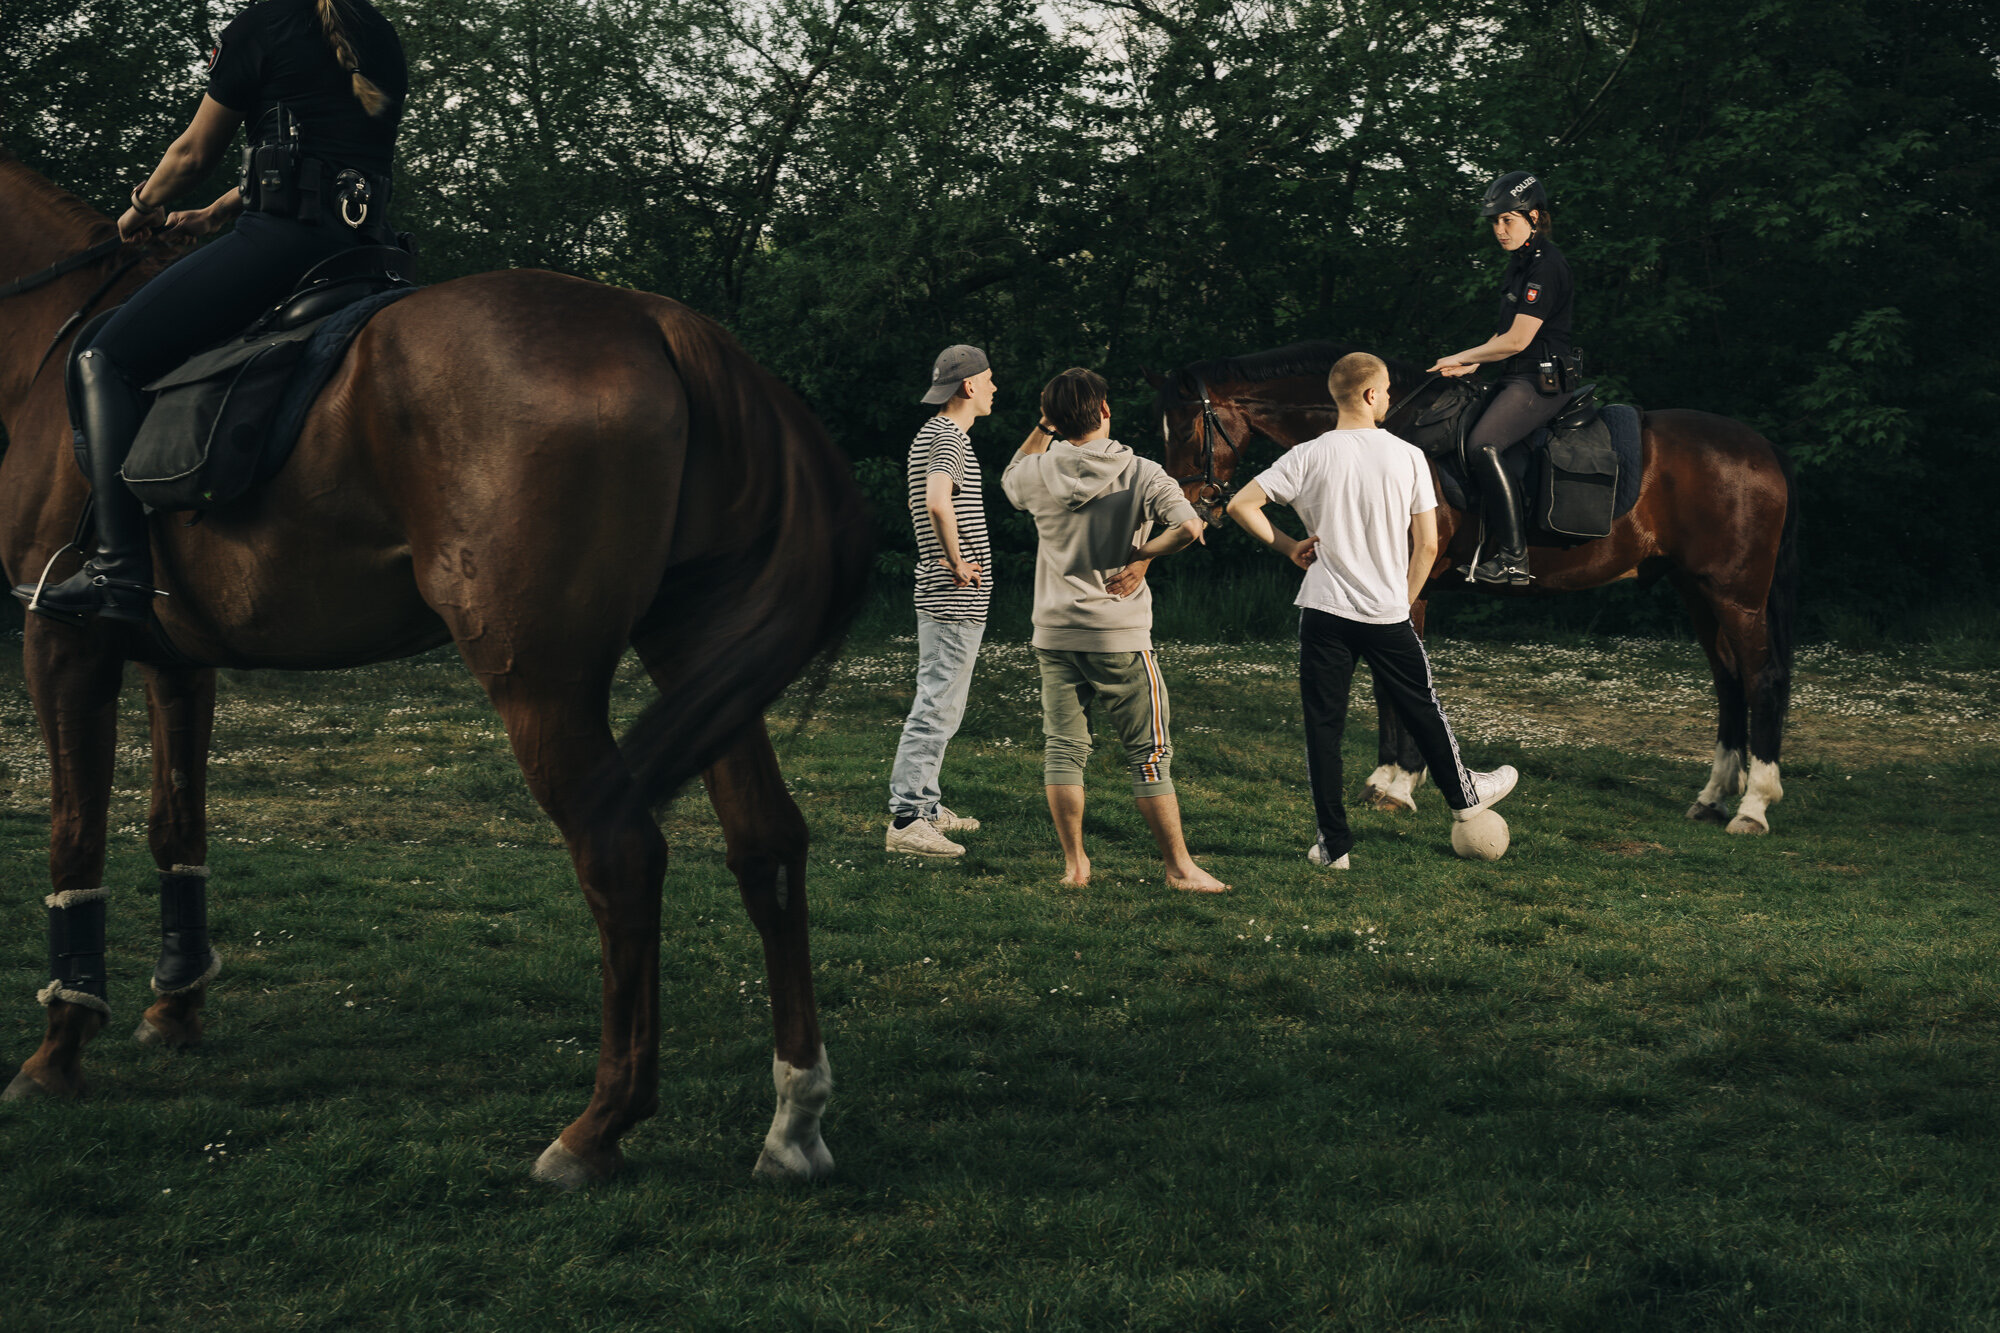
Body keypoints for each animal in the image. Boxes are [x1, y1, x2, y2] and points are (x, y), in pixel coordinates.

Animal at [1, 153, 876, 1184]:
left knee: (621, 853)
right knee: (767, 847)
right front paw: (175, 1004)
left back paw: (599, 1126)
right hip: (696, 652)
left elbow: (74, 838)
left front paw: (59, 1047)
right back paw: (795, 1117)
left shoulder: (61, 639)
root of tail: (657, 320)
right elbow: (176, 825)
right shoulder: (177, 661)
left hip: (538, 680)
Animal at [1152, 342, 1808, 832]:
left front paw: (1398, 783)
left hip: (1736, 594)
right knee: (1728, 682)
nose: (1189, 509)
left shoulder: (1406, 588)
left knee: (1761, 677)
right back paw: (1713, 796)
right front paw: (1389, 778)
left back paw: (1753, 805)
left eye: (1185, 430)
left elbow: (1398, 683)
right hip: (1698, 591)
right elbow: (1388, 685)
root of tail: (1763, 449)